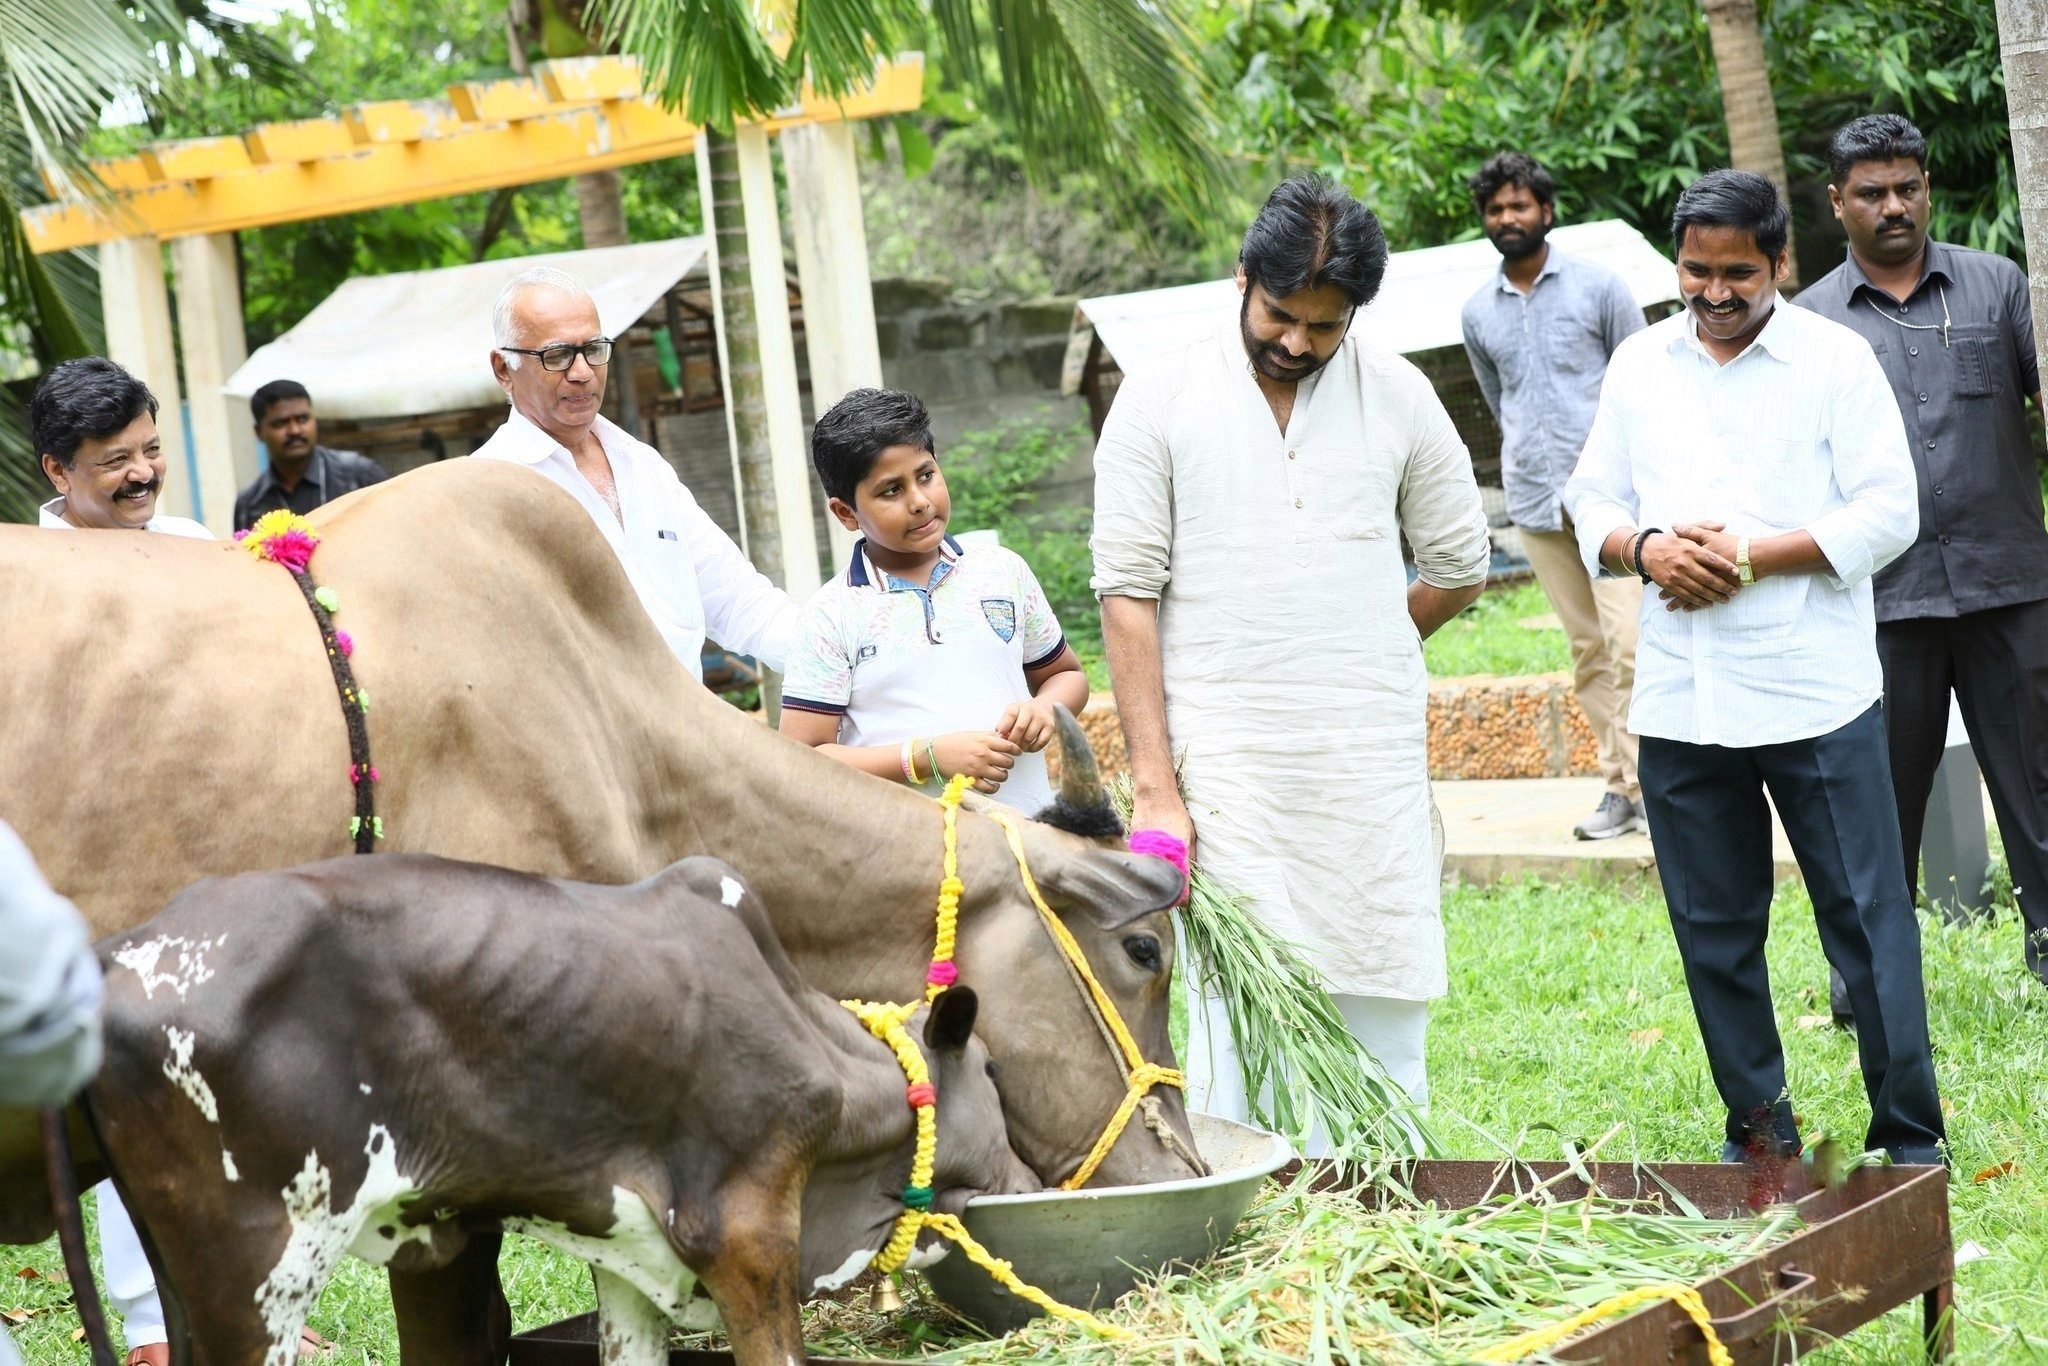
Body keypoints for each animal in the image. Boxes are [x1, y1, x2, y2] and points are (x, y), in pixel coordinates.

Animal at [88, 860, 1032, 1359]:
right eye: (991, 1067)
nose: (1027, 1176)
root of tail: (119, 952)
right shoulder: (750, 1238)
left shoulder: (630, 1261)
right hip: (262, 1268)